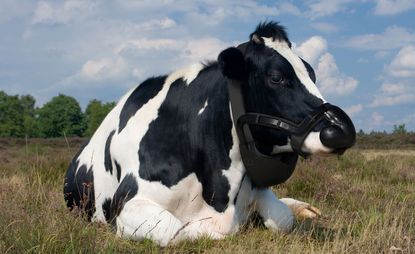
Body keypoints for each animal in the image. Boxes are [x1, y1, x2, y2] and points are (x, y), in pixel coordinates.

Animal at [63, 21, 356, 246]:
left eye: (312, 74)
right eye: (276, 77)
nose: (341, 130)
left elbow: (283, 218)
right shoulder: (127, 202)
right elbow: (179, 230)